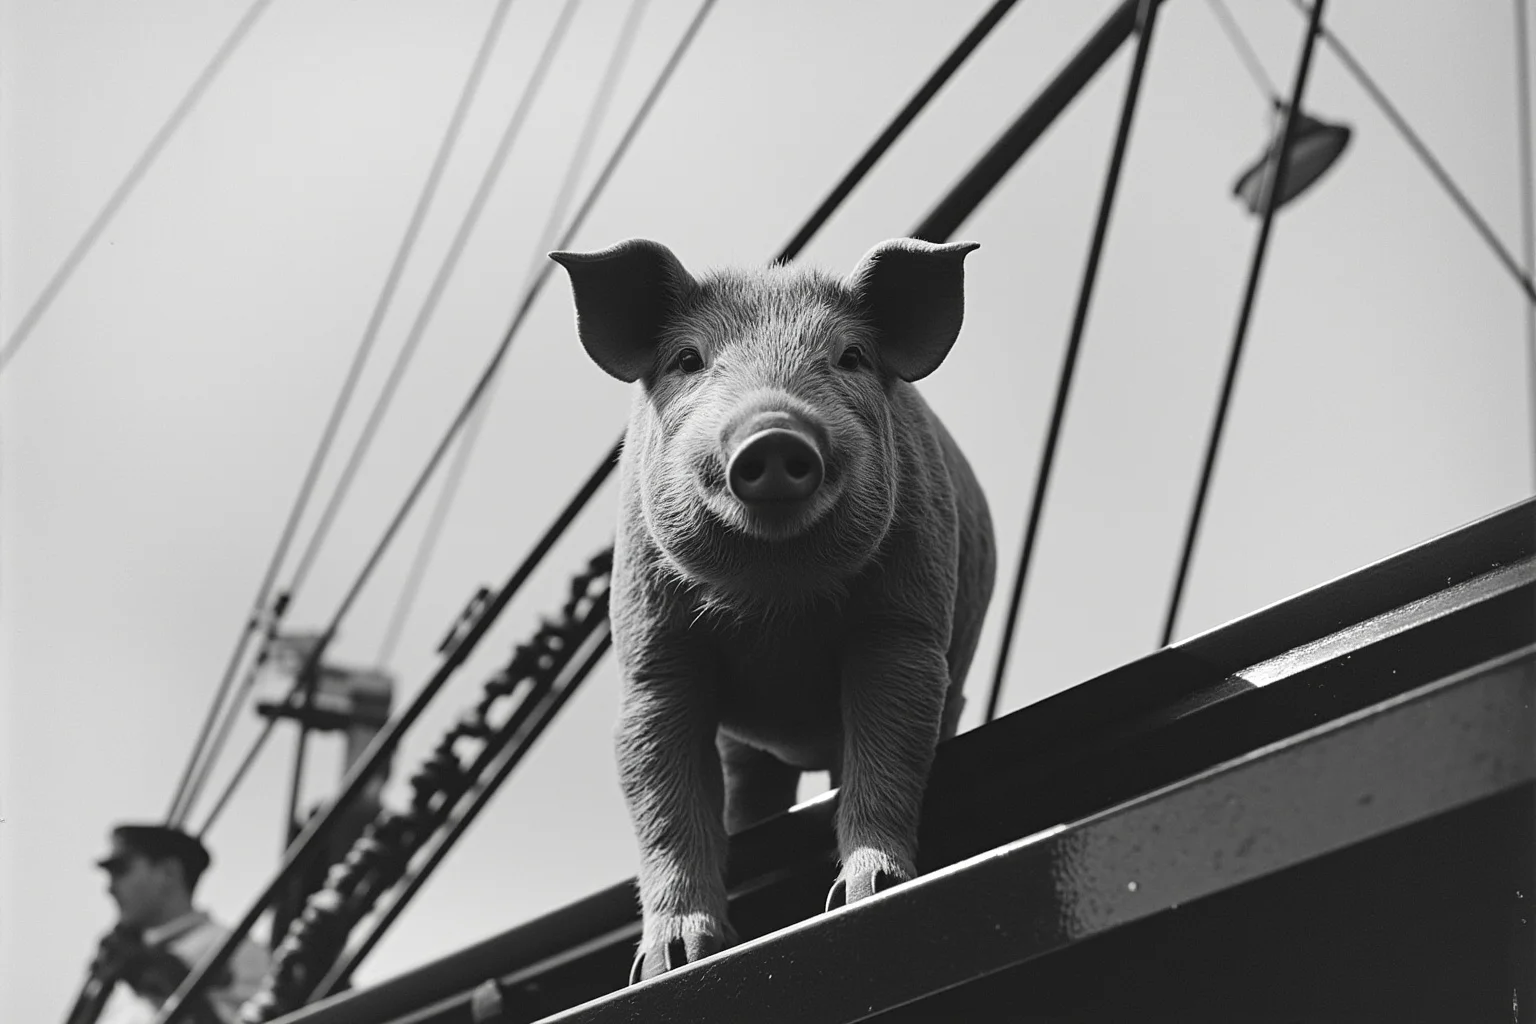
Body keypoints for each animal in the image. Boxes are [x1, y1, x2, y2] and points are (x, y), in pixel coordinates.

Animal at [550, 237, 995, 983]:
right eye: (688, 360)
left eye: (851, 357)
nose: (774, 431)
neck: (776, 604)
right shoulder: (651, 656)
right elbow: (661, 792)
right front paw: (672, 961)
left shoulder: (905, 626)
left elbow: (890, 744)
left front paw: (868, 894)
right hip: (746, 745)